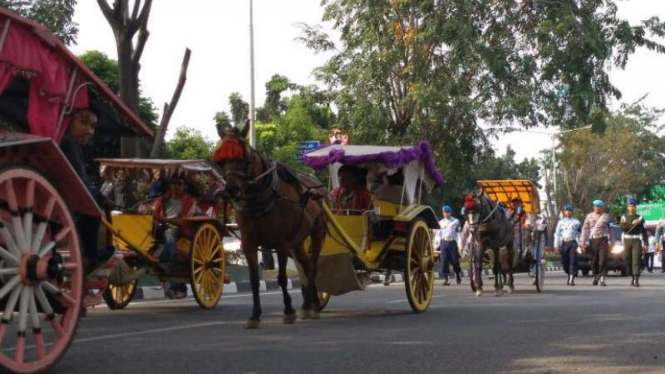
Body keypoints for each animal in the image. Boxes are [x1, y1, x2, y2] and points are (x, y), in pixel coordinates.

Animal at [213, 122, 326, 328]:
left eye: (243, 156)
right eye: (221, 160)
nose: (231, 189)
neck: (261, 198)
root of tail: (317, 184)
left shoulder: (280, 243)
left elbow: (282, 278)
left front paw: (288, 311)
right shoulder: (248, 244)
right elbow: (254, 280)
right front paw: (255, 315)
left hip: (317, 232)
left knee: (313, 266)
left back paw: (311, 305)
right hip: (297, 242)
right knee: (305, 267)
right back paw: (310, 304)